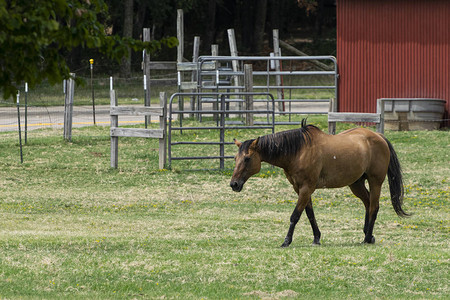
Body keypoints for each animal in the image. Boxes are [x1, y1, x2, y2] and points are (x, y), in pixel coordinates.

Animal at [230, 119, 410, 246]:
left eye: (247, 159)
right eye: (235, 158)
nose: (234, 184)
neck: (298, 151)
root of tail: (379, 137)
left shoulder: (306, 188)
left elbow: (295, 215)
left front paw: (286, 241)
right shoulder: (300, 189)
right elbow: (309, 214)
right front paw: (316, 238)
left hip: (375, 182)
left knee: (374, 207)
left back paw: (367, 238)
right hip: (356, 183)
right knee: (367, 203)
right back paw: (368, 234)